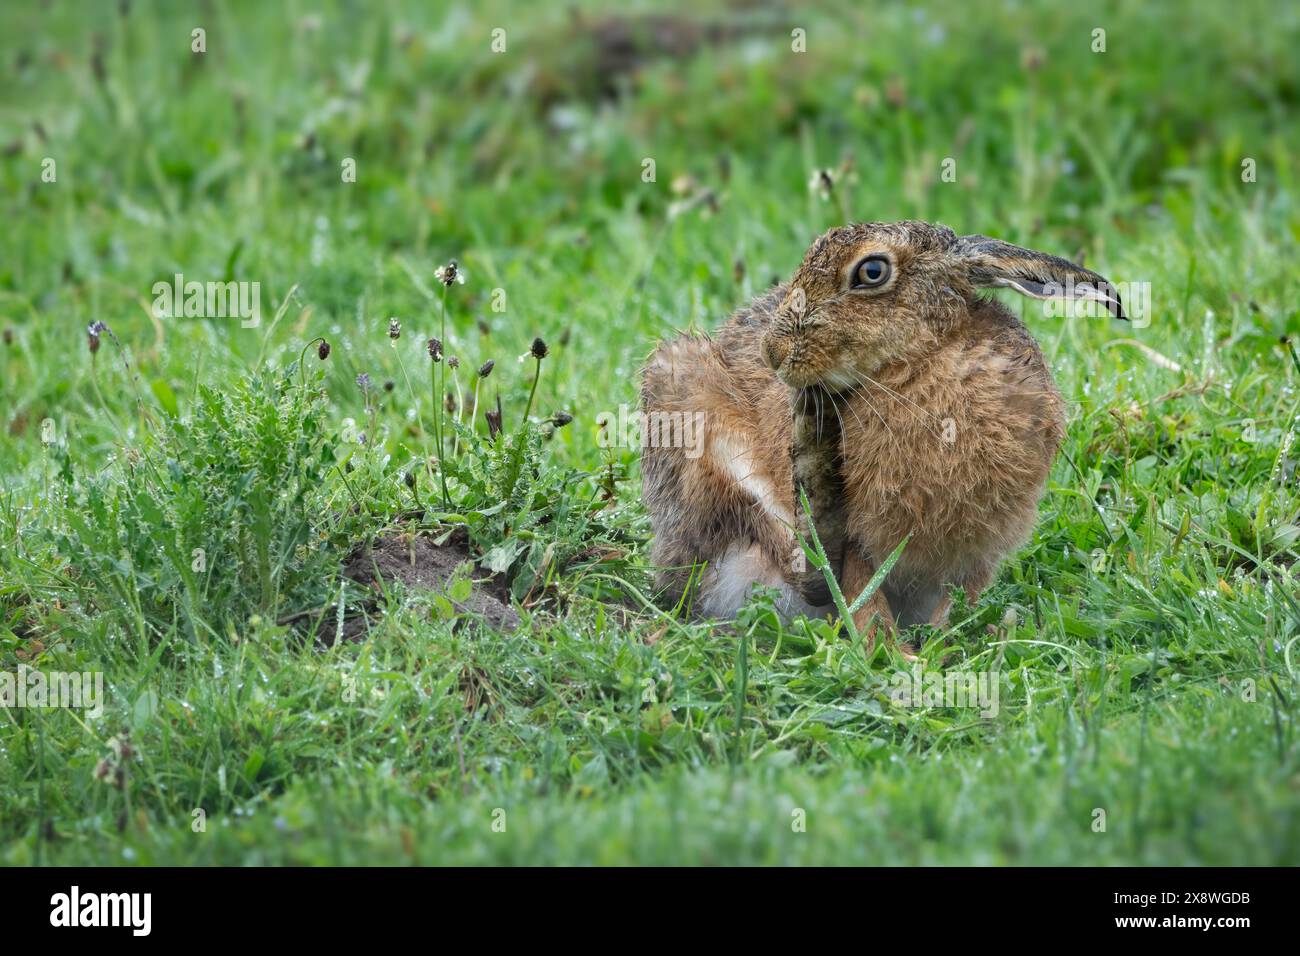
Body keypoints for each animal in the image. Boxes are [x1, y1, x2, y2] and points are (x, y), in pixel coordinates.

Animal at [641, 220, 1123, 639]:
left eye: (872, 272)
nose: (773, 352)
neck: (921, 357)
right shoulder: (855, 535)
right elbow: (863, 594)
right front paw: (892, 653)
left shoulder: (983, 546)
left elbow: (961, 595)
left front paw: (942, 642)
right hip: (680, 397)